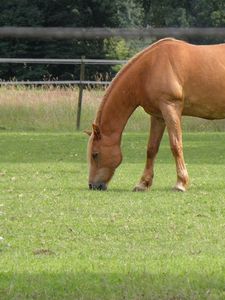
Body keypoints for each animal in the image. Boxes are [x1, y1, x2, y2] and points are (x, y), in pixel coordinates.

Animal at [85, 38, 225, 192]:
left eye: (95, 154)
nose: (93, 185)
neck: (149, 69)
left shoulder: (170, 108)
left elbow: (176, 145)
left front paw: (180, 183)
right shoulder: (158, 116)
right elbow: (151, 148)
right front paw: (143, 183)